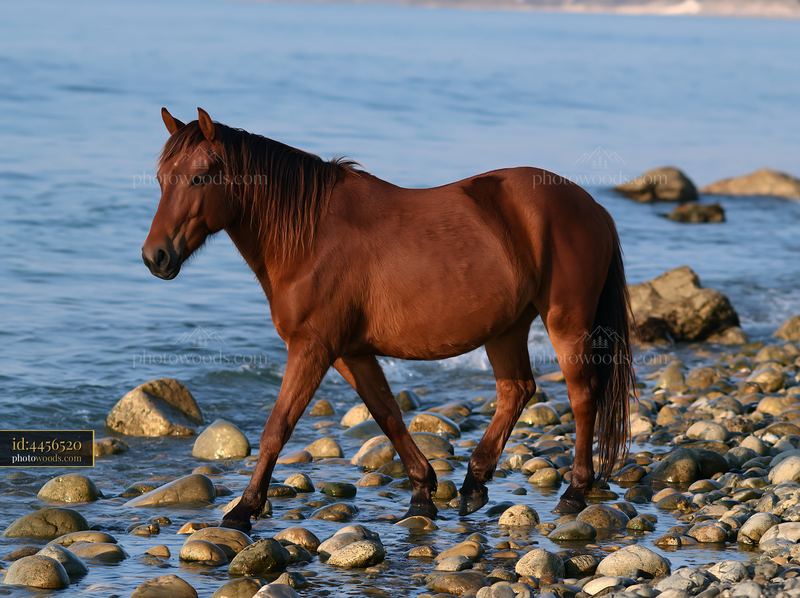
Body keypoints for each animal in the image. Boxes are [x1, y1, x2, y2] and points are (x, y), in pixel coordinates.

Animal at [143, 107, 635, 532]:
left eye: (200, 176)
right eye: (162, 179)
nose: (156, 256)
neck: (311, 238)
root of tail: (592, 207)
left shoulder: (312, 347)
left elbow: (277, 428)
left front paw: (243, 510)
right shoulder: (350, 353)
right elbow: (387, 414)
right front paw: (421, 492)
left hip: (565, 321)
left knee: (581, 396)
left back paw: (574, 491)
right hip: (506, 328)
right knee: (516, 390)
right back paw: (474, 484)